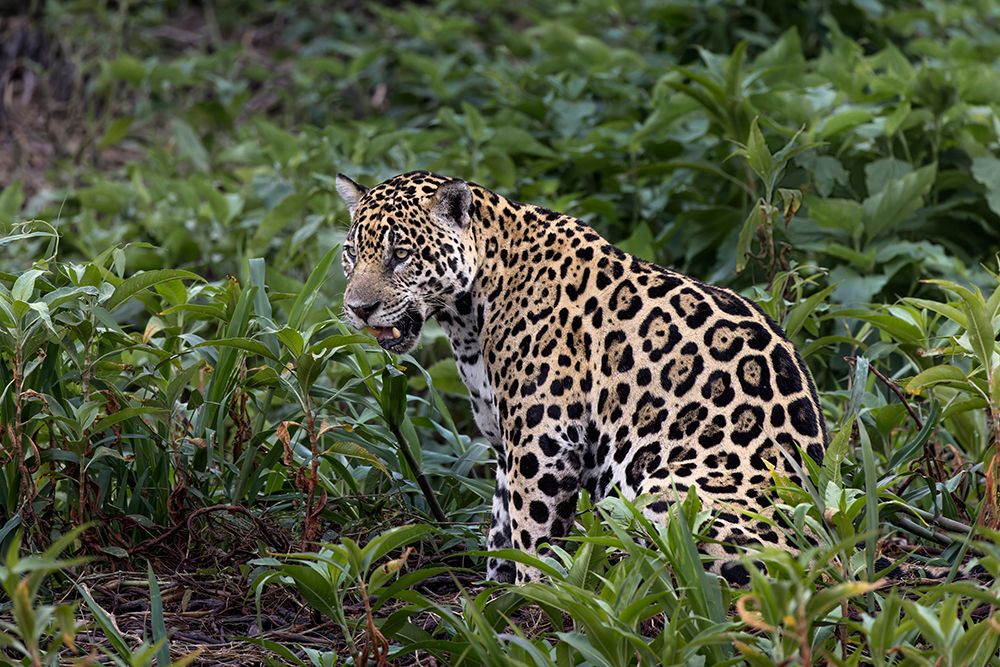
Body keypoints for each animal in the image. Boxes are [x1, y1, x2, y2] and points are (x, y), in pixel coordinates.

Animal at [336, 170, 827, 585]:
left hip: (669, 491)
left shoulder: (543, 444)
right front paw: (496, 597)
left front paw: (538, 600)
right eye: (352, 254)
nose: (358, 309)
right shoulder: (505, 444)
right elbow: (501, 527)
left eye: (401, 254)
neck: (467, 317)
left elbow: (532, 532)